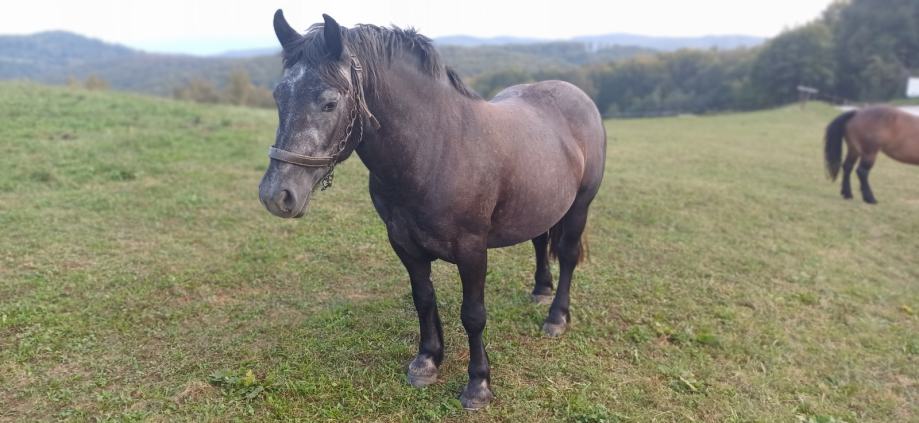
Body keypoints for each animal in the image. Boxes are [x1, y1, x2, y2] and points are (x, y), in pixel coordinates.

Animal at [255, 10, 608, 410]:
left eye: (329, 103)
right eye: (279, 95)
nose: (276, 194)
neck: (435, 148)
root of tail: (576, 95)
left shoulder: (472, 249)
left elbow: (473, 315)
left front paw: (478, 384)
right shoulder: (403, 242)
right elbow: (423, 299)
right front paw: (427, 361)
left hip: (580, 205)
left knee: (567, 255)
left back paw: (556, 317)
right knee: (539, 241)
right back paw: (540, 290)